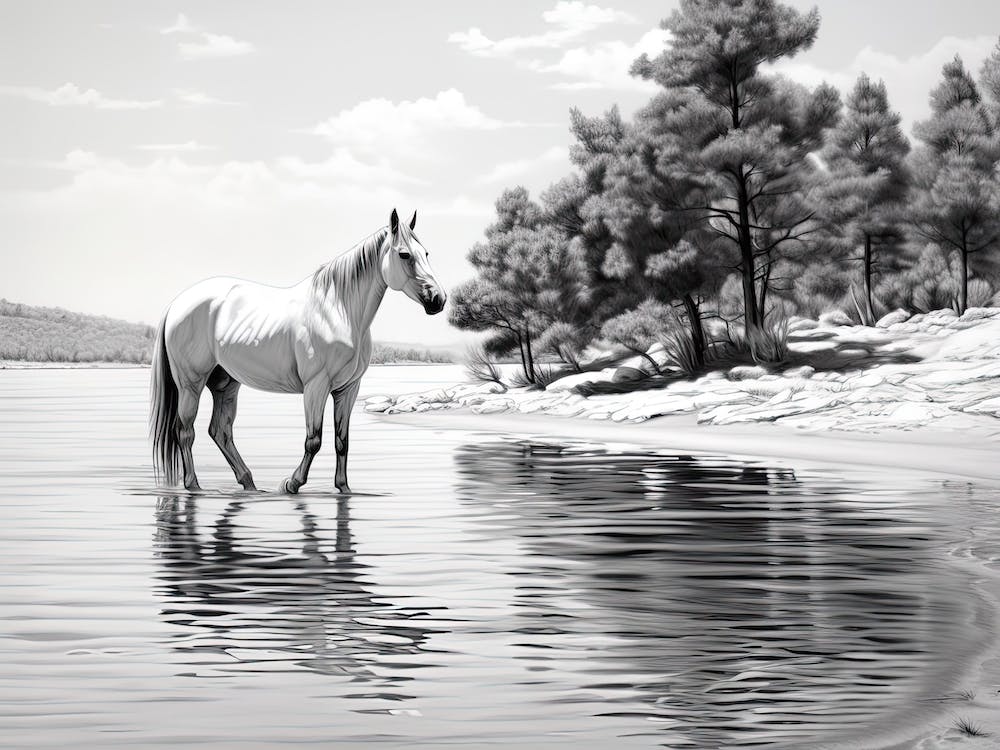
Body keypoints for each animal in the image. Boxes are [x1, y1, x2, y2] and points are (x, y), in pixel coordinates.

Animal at [149, 208, 445, 494]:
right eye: (404, 254)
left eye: (426, 253)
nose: (438, 300)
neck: (337, 311)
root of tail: (177, 304)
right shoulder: (316, 386)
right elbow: (314, 440)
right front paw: (292, 484)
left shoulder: (348, 389)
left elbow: (342, 441)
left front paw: (344, 488)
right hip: (191, 383)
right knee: (185, 431)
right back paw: (194, 486)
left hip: (225, 383)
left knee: (220, 431)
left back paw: (249, 483)